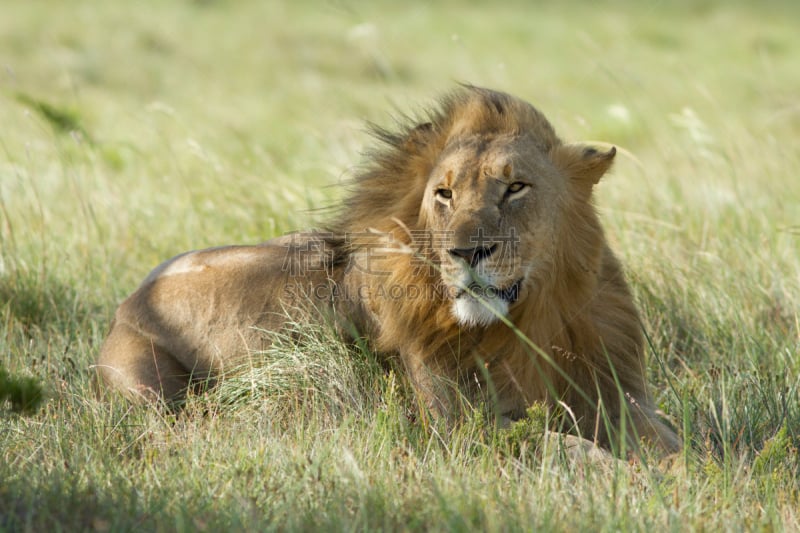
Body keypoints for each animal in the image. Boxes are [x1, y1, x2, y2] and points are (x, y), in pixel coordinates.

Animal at [97, 86, 680, 454]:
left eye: (516, 187)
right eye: (444, 194)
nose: (465, 253)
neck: (528, 325)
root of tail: (132, 297)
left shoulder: (621, 397)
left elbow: (678, 442)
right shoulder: (460, 428)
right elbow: (562, 445)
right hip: (153, 394)